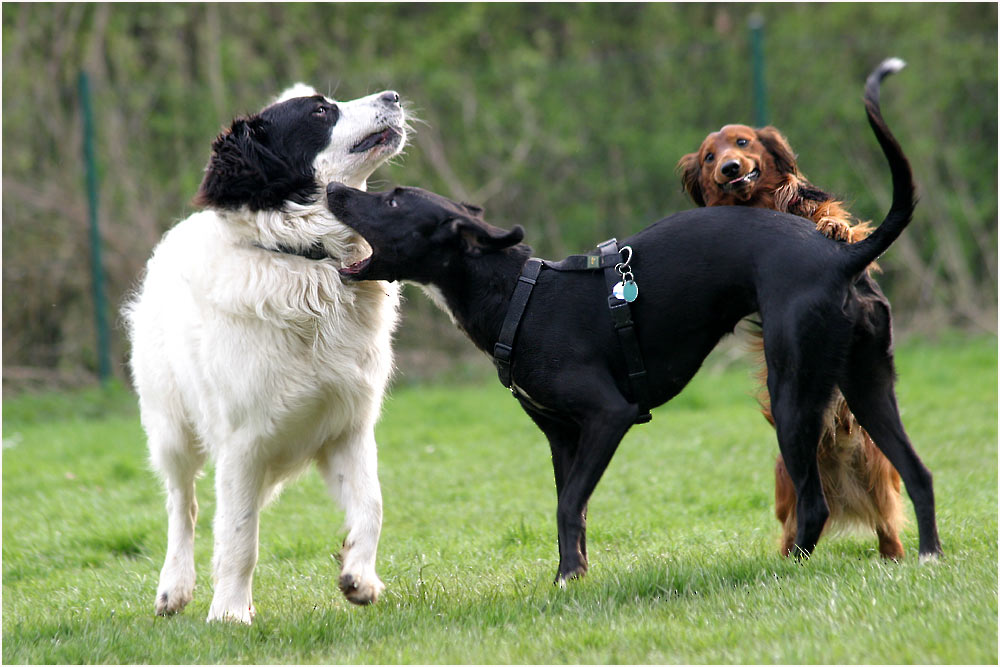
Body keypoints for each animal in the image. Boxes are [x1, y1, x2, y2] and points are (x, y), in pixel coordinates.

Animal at [126, 86, 406, 624]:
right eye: (320, 110)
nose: (394, 95)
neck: (304, 259)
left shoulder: (347, 427)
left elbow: (373, 506)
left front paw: (359, 577)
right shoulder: (242, 444)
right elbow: (238, 537)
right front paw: (230, 613)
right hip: (171, 429)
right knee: (182, 505)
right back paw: (175, 587)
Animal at [680, 124, 908, 560]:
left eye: (742, 142)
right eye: (708, 157)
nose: (729, 168)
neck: (767, 204)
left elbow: (840, 224)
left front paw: (834, 227)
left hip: (878, 465)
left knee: (887, 519)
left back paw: (895, 555)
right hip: (786, 477)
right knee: (795, 528)